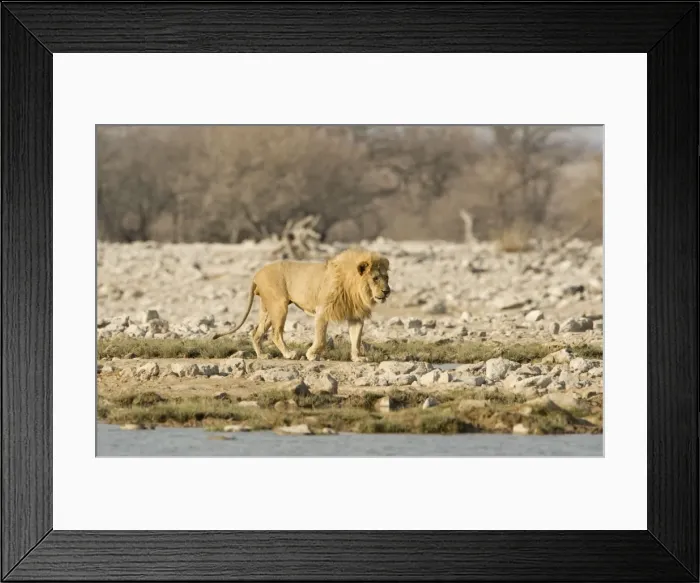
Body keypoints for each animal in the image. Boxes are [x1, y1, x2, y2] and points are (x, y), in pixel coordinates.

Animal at [211, 247, 391, 362]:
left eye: (386, 278)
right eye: (375, 278)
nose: (387, 291)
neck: (354, 287)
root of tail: (257, 274)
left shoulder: (356, 316)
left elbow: (356, 339)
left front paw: (357, 357)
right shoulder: (322, 310)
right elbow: (321, 339)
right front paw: (311, 355)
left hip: (268, 309)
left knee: (256, 332)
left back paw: (262, 356)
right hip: (280, 305)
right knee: (275, 333)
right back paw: (289, 354)